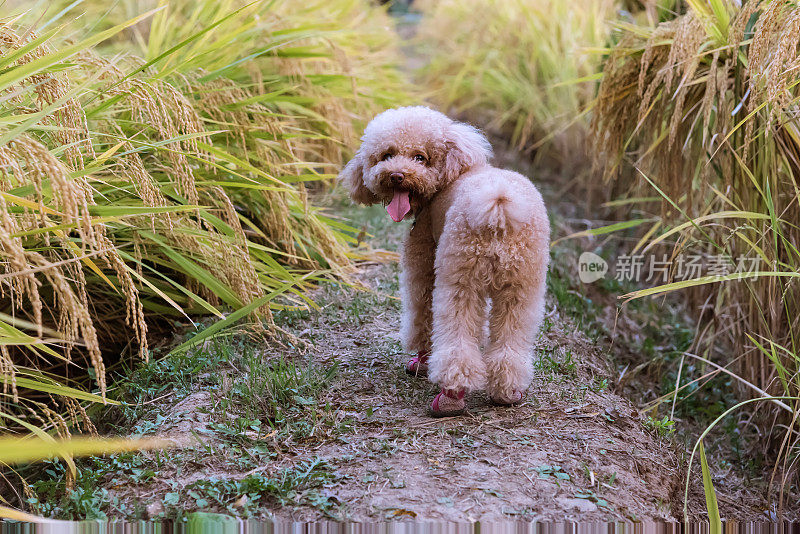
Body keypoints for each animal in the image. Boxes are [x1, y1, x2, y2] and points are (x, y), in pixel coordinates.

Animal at [338, 108, 552, 418]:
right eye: (387, 155)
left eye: (420, 157)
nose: (396, 175)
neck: (452, 174)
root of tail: (499, 206)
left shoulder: (425, 265)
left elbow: (422, 313)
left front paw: (421, 361)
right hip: (523, 286)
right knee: (511, 341)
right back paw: (507, 391)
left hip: (460, 278)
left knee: (456, 341)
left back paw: (451, 396)